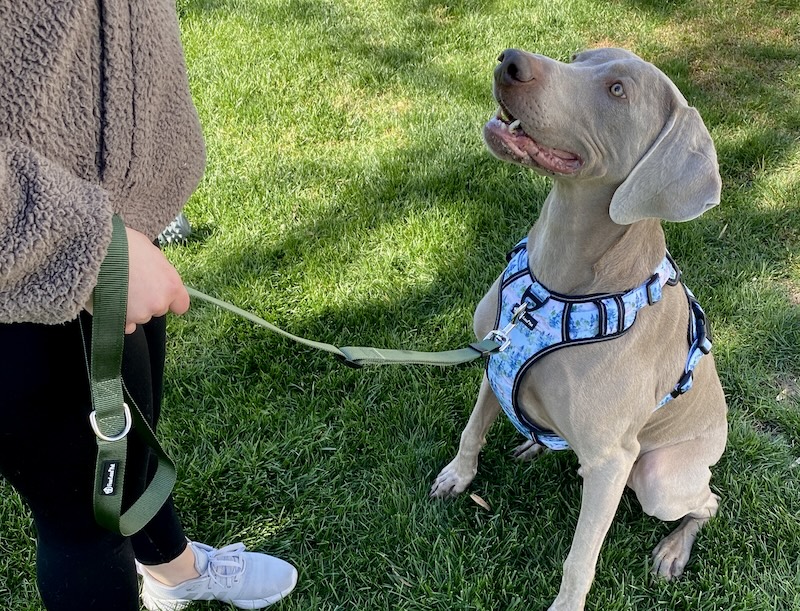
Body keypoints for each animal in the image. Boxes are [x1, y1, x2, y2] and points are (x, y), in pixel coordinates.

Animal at [428, 49, 728, 611]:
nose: (510, 60)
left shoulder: (613, 463)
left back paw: (673, 550)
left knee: (708, 502)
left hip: (656, 477)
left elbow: (579, 559)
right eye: (578, 57)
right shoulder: (494, 357)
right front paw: (458, 476)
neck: (553, 285)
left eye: (617, 91)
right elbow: (472, 428)